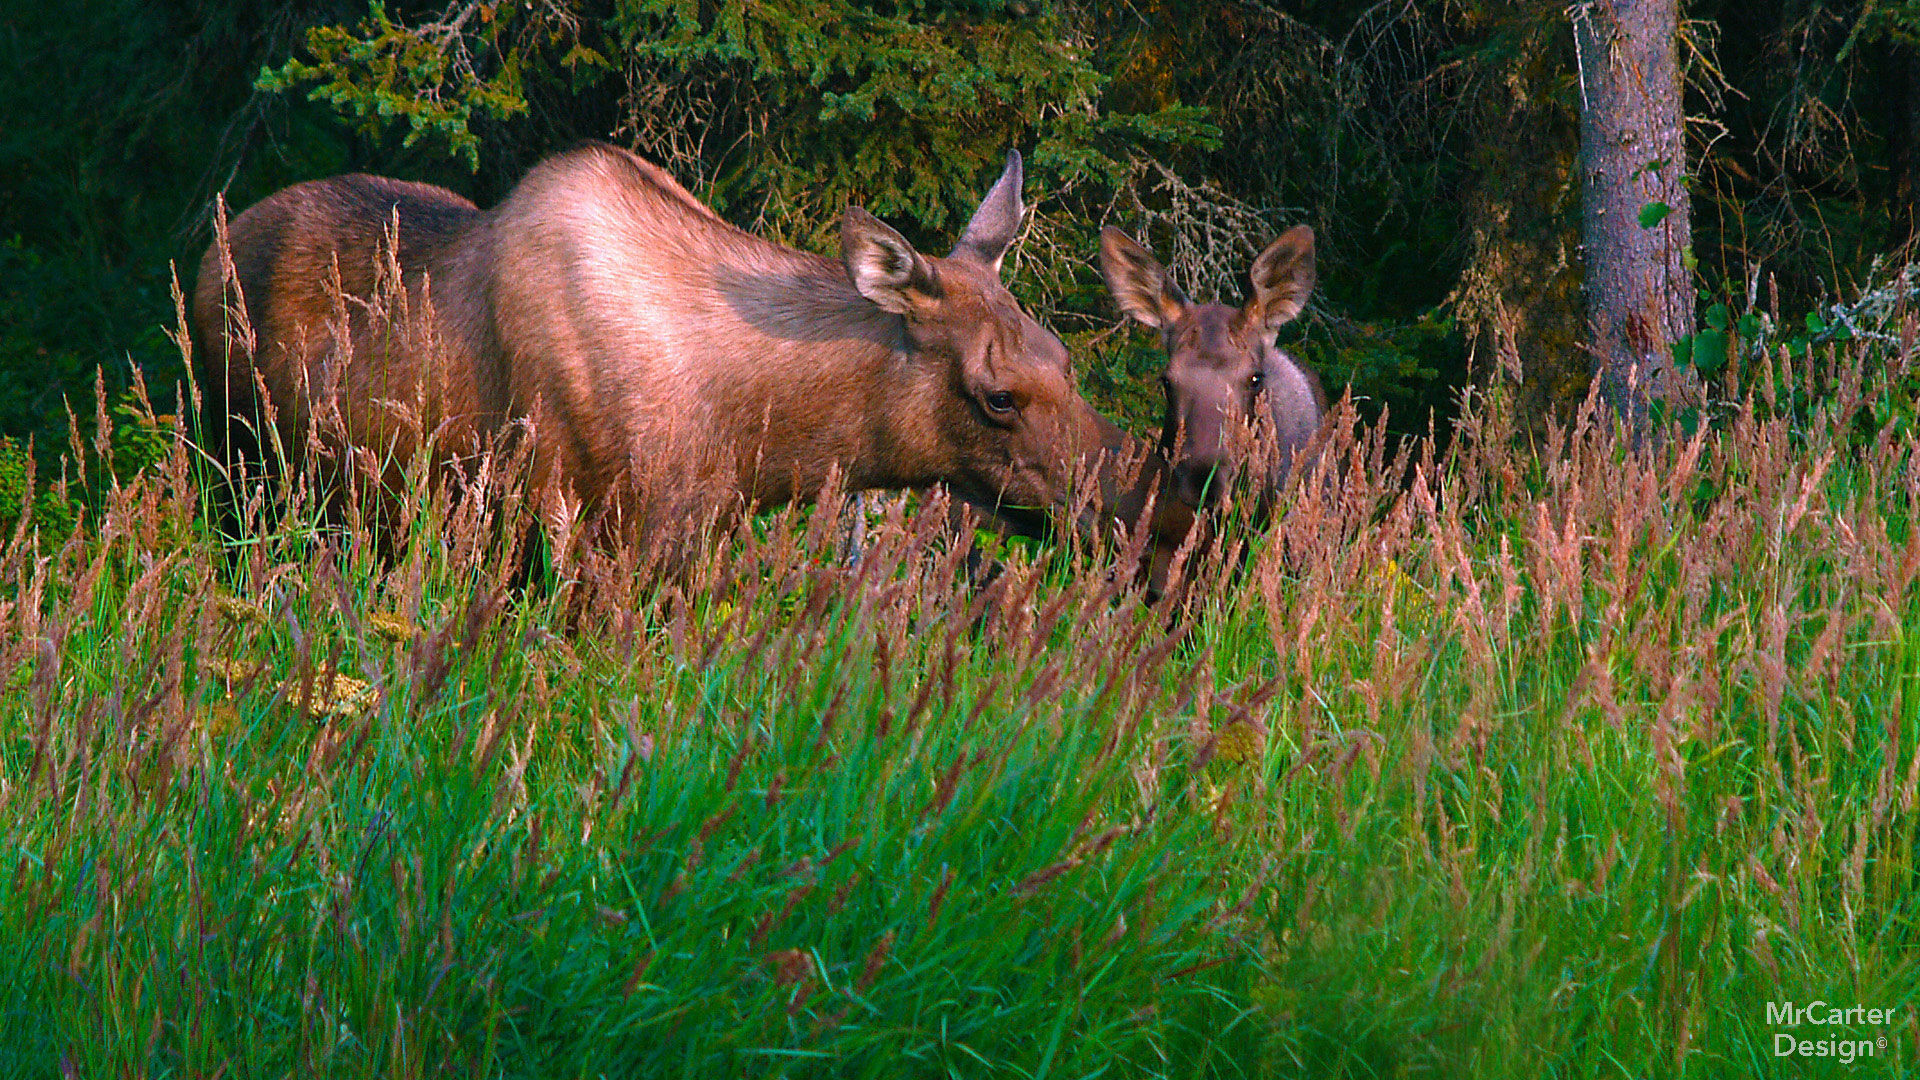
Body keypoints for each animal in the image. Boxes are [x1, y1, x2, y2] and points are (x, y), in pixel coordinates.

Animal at [192, 142, 1144, 541]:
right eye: (998, 396)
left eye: (1064, 361)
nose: (1130, 503)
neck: (768, 442)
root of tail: (211, 249)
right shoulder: (592, 538)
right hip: (246, 475)